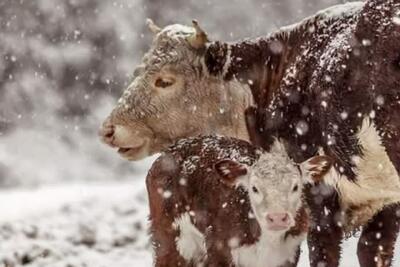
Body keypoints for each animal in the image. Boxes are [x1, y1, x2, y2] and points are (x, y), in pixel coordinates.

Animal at [145, 137, 330, 266]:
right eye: (254, 188)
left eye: (295, 186)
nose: (277, 218)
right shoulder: (219, 249)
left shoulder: (288, 254)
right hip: (171, 237)